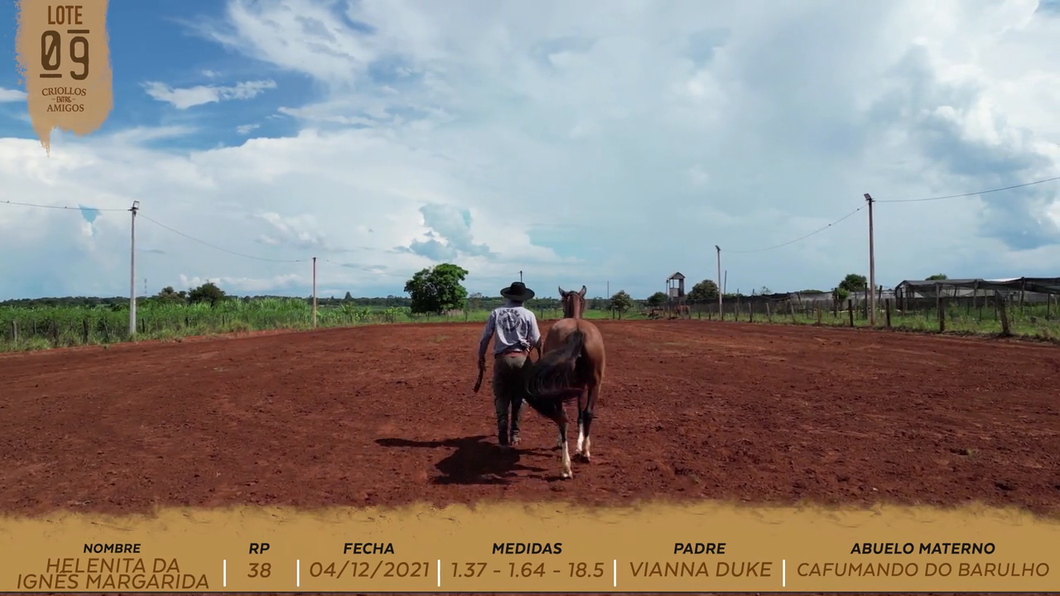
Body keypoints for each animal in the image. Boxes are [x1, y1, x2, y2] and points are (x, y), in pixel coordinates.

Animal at [521, 284, 606, 477]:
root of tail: (578, 330)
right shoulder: (582, 386)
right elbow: (581, 414)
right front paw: (580, 445)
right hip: (595, 384)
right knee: (588, 413)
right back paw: (585, 453)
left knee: (562, 417)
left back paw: (566, 466)